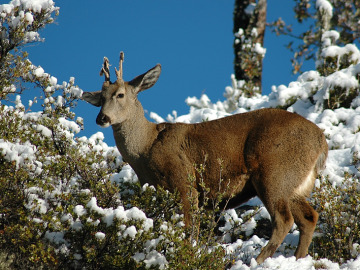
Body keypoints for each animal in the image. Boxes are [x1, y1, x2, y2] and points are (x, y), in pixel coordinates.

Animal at [81, 52, 330, 264]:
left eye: (120, 94)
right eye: (100, 98)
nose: (102, 118)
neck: (146, 148)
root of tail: (322, 142)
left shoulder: (184, 180)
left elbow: (189, 230)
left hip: (273, 172)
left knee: (284, 219)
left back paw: (256, 261)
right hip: (294, 184)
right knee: (309, 217)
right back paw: (298, 259)